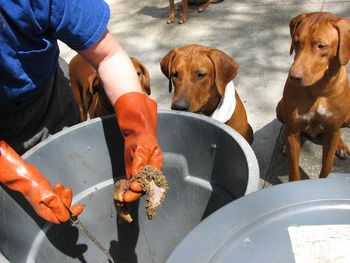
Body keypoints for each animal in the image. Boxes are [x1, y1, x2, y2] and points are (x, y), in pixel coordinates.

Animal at [276, 12, 350, 182]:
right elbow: (294, 169)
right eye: (296, 42)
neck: (319, 90)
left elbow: (327, 165)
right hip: (280, 108)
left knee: (339, 131)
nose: (293, 77)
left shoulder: (332, 131)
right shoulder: (293, 130)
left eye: (321, 46)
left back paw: (341, 145)